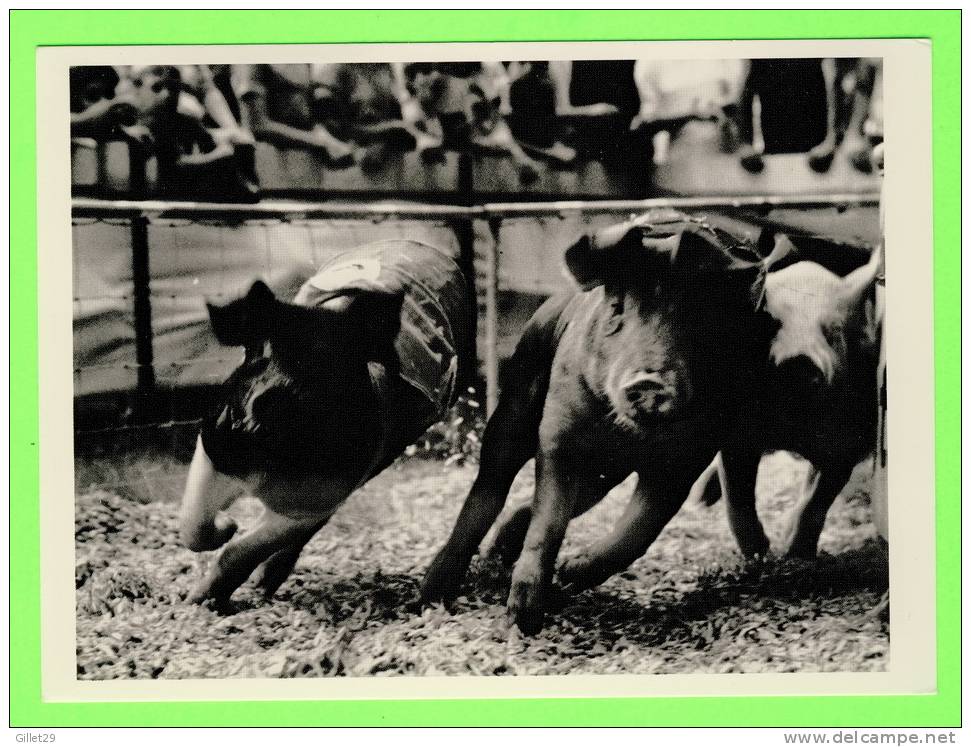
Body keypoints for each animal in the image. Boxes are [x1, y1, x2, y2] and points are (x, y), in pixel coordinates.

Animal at [182, 243, 474, 604]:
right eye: (259, 353)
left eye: (328, 368)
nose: (261, 410)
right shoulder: (214, 447)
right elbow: (193, 524)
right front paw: (225, 531)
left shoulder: (320, 498)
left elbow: (242, 550)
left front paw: (206, 598)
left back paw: (263, 583)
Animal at [422, 210, 780, 632]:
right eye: (616, 309)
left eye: (699, 316)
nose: (647, 381)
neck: (630, 438)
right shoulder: (558, 432)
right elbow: (549, 521)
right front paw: (523, 619)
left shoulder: (688, 458)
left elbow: (638, 531)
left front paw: (568, 575)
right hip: (516, 404)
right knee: (489, 485)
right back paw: (433, 593)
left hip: (602, 477)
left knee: (537, 506)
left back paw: (498, 558)